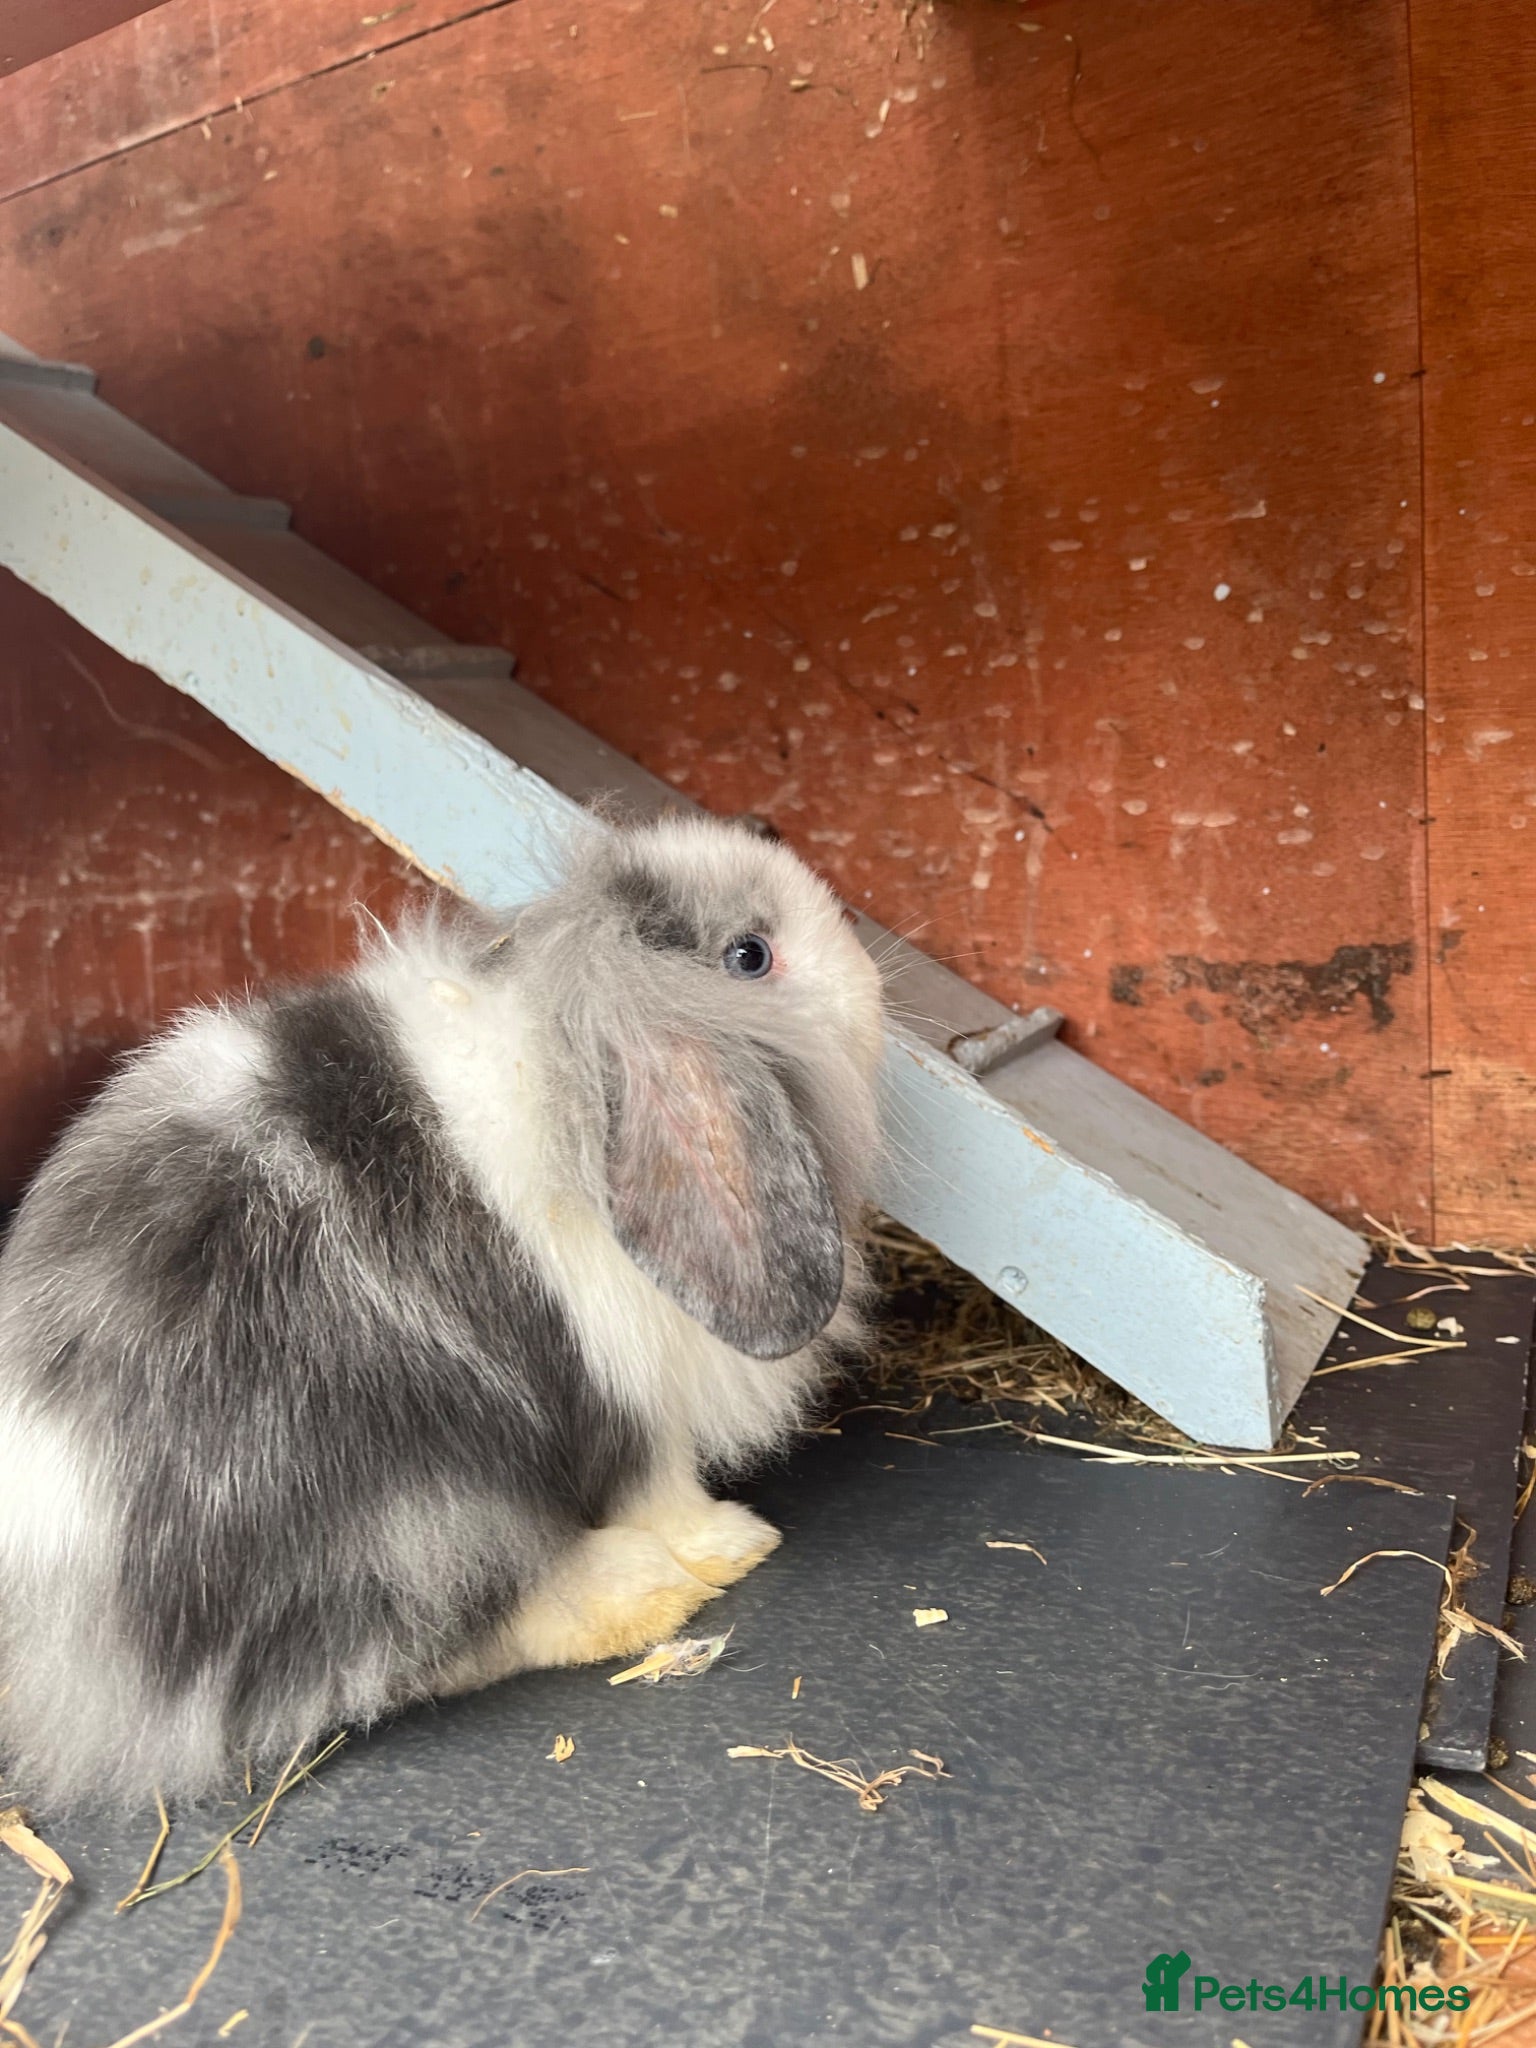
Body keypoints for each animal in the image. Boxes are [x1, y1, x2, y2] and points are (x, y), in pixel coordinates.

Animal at [0, 815, 886, 1811]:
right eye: (750, 955)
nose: (868, 964)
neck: (575, 1074)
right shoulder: (631, 1400)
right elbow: (663, 1489)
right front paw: (736, 1541)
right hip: (427, 1523)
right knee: (408, 1655)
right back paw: (642, 1590)